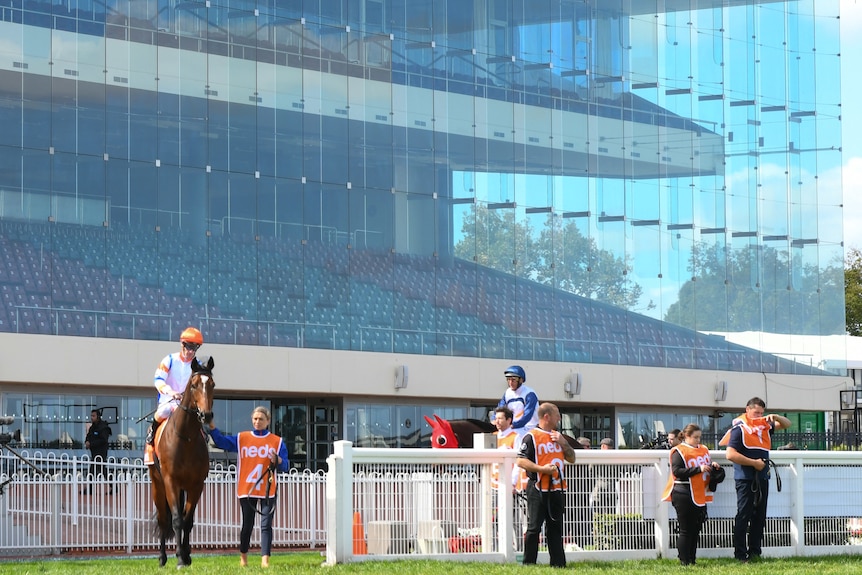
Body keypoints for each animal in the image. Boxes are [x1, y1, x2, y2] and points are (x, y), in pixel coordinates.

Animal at [148, 358, 216, 568]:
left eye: (212, 384)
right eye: (194, 385)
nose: (206, 415)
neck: (186, 438)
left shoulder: (196, 484)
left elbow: (188, 520)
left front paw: (186, 555)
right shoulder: (171, 481)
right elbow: (177, 519)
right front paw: (178, 557)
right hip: (157, 485)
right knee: (163, 519)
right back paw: (162, 558)